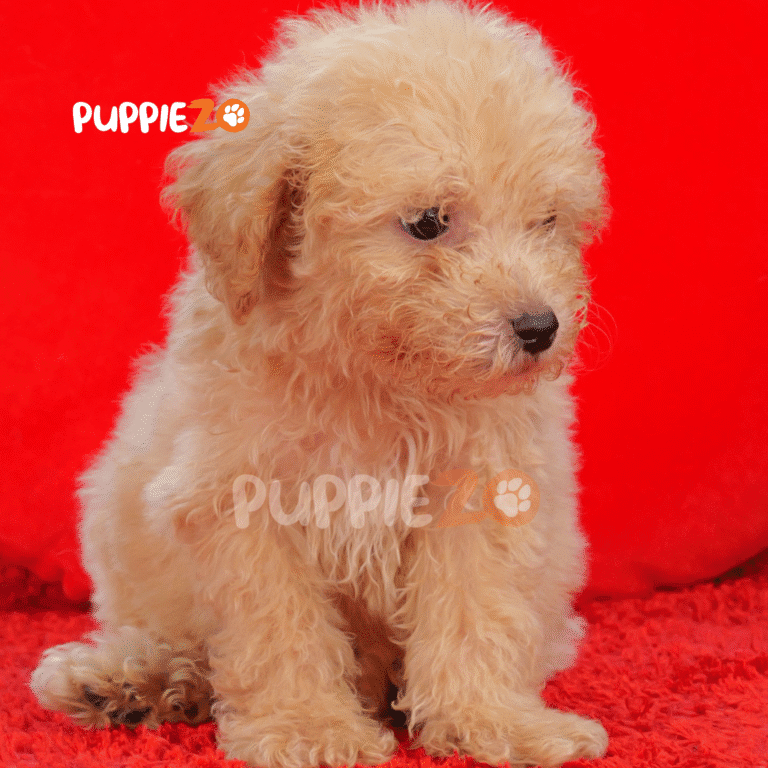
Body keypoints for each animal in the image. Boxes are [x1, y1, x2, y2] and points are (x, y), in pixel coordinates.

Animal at [31, 2, 609, 766]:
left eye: (547, 220)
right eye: (428, 223)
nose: (539, 327)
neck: (374, 374)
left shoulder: (481, 487)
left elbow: (472, 608)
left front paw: (493, 722)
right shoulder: (238, 494)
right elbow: (279, 625)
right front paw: (308, 727)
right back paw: (128, 681)